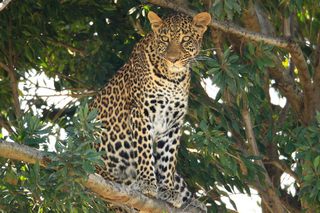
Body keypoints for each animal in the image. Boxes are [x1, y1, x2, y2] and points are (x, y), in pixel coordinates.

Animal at [90, 10, 211, 211]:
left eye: (185, 39)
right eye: (164, 39)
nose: (173, 59)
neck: (173, 79)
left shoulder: (174, 123)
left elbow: (168, 160)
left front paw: (168, 189)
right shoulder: (141, 113)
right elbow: (144, 150)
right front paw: (147, 183)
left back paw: (194, 203)